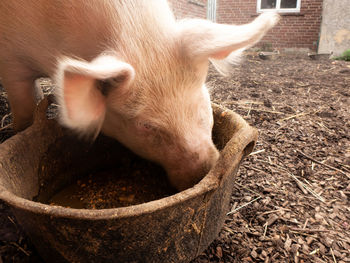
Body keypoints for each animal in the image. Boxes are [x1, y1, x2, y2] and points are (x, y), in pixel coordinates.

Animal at [0, 0, 278, 190]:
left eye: (202, 107)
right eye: (146, 126)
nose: (204, 171)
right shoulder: (11, 61)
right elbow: (25, 107)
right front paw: (19, 130)